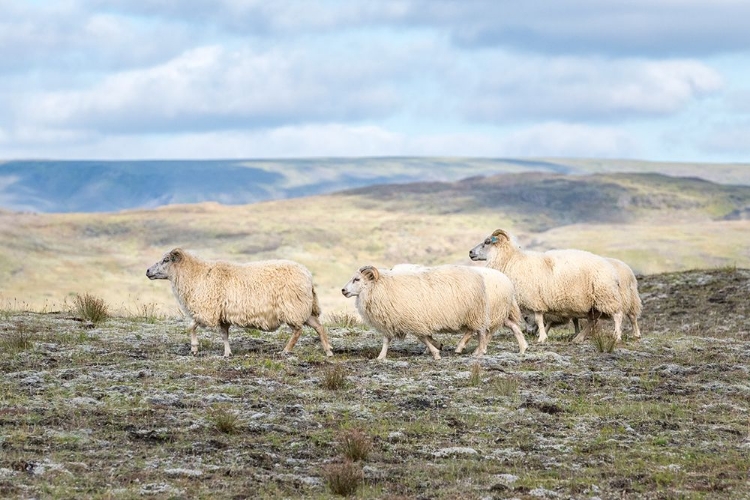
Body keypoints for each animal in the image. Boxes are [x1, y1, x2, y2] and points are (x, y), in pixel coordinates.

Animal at [145, 248, 334, 358]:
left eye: (166, 260)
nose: (147, 271)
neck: (196, 275)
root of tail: (308, 275)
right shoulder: (222, 315)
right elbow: (224, 335)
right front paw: (227, 353)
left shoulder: (207, 311)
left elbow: (190, 327)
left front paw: (194, 348)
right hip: (302, 308)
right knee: (319, 326)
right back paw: (328, 351)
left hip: (292, 307)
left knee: (298, 330)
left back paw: (286, 351)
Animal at [342, 264, 494, 362]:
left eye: (357, 279)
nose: (343, 290)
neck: (379, 287)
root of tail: (476, 274)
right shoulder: (390, 320)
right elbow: (386, 340)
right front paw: (381, 356)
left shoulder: (414, 320)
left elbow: (422, 338)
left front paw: (436, 353)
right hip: (471, 314)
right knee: (471, 330)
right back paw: (462, 348)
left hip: (475, 312)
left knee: (480, 332)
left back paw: (479, 352)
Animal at [394, 262, 528, 356]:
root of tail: (508, 282)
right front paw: (434, 346)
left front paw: (433, 347)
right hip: (495, 312)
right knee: (511, 326)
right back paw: (522, 347)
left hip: (482, 311)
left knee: (482, 331)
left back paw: (472, 349)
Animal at [470, 230, 628, 344]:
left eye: (487, 242)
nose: (470, 252)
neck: (512, 260)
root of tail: (612, 271)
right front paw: (542, 336)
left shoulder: (535, 299)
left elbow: (539, 319)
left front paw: (541, 338)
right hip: (595, 302)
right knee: (593, 320)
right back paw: (578, 338)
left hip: (606, 295)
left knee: (617, 315)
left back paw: (616, 336)